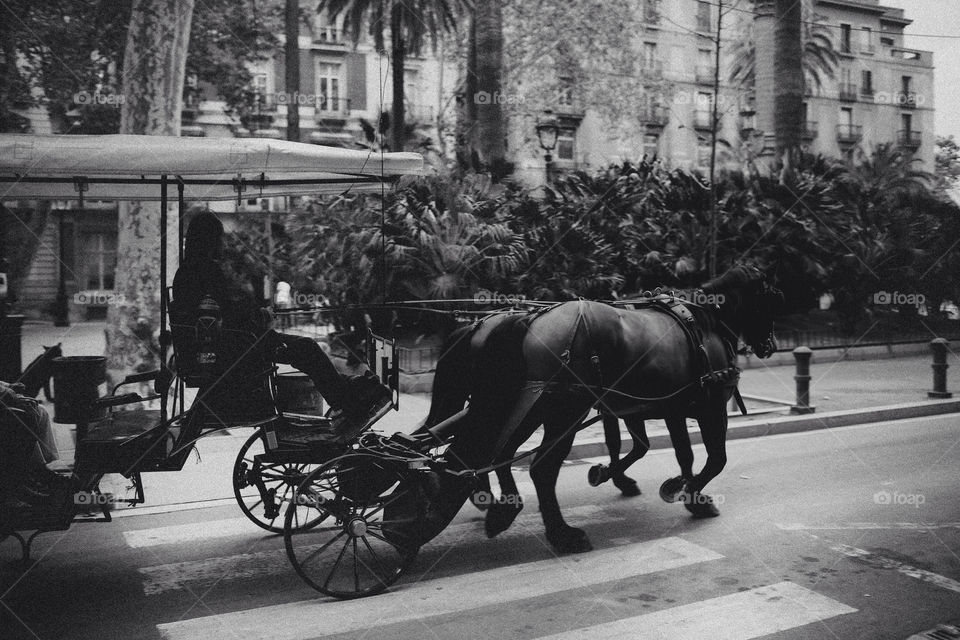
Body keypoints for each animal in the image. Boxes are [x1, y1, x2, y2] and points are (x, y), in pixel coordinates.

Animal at [426, 268, 780, 552]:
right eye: (771, 302)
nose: (770, 347)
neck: (704, 323)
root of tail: (527, 321)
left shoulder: (667, 409)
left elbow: (677, 453)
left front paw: (675, 487)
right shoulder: (710, 409)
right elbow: (715, 459)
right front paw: (691, 494)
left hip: (530, 407)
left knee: (501, 452)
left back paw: (501, 507)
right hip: (563, 413)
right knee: (540, 468)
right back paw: (562, 534)